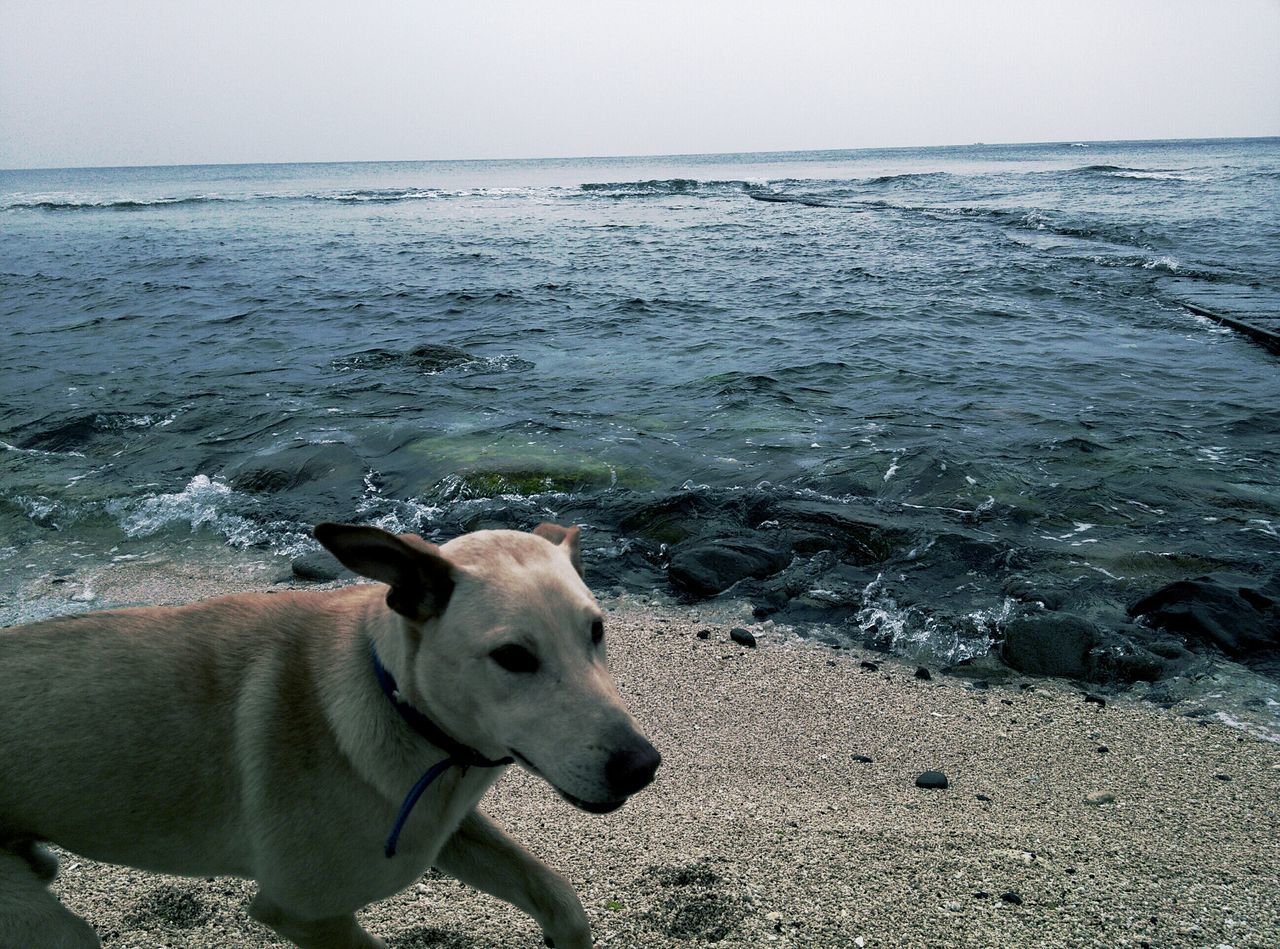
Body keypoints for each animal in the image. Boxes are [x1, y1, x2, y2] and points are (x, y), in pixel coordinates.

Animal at [0, 522, 660, 942]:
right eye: (514, 658)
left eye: (597, 631)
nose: (642, 766)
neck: (398, 702)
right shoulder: (306, 913)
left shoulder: (440, 827)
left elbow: (558, 897)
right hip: (49, 930)